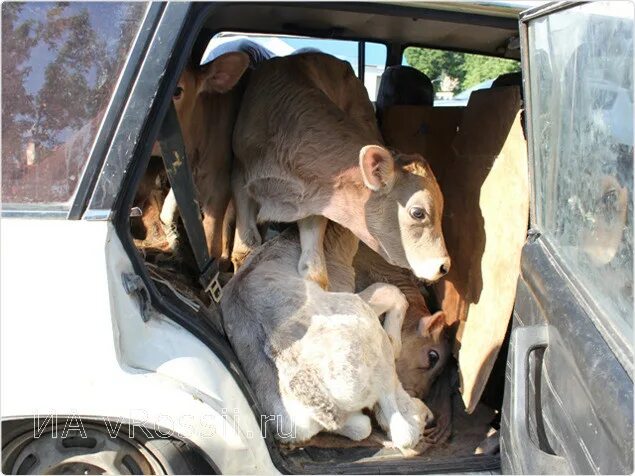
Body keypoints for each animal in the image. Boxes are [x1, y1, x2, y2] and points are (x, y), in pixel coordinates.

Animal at [221, 221, 434, 448]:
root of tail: (315, 395)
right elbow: (392, 292)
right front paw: (396, 342)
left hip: (293, 425)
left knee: (360, 427)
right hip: (363, 324)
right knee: (401, 427)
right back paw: (421, 414)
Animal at [231, 52, 450, 290]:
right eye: (418, 213)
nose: (444, 266)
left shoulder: (316, 199)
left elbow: (314, 271)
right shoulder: (240, 176)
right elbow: (245, 248)